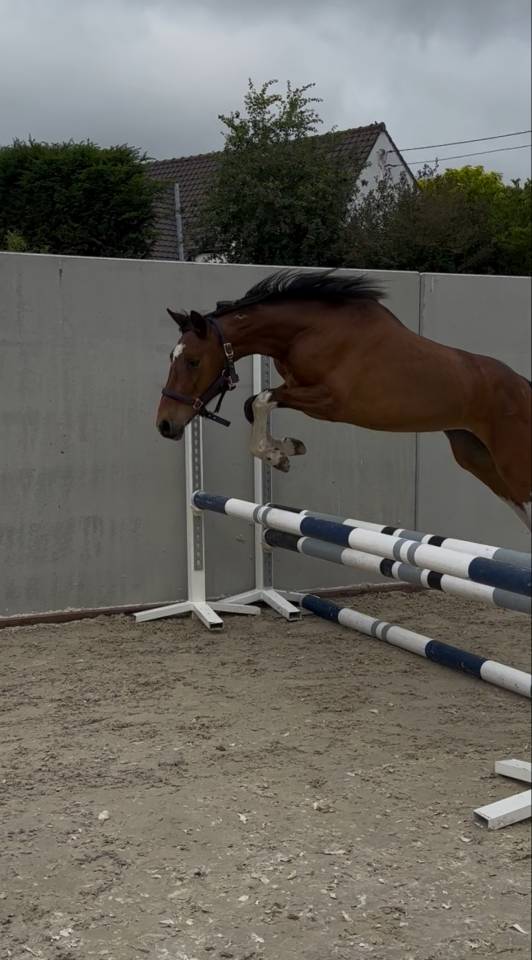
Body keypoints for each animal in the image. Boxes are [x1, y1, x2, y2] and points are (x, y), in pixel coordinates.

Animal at [156, 269, 532, 530]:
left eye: (193, 361)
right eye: (171, 357)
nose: (165, 425)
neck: (309, 331)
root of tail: (525, 387)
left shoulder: (330, 401)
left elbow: (261, 400)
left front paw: (278, 454)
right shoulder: (297, 389)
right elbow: (254, 404)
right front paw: (286, 449)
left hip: (513, 465)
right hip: (478, 459)